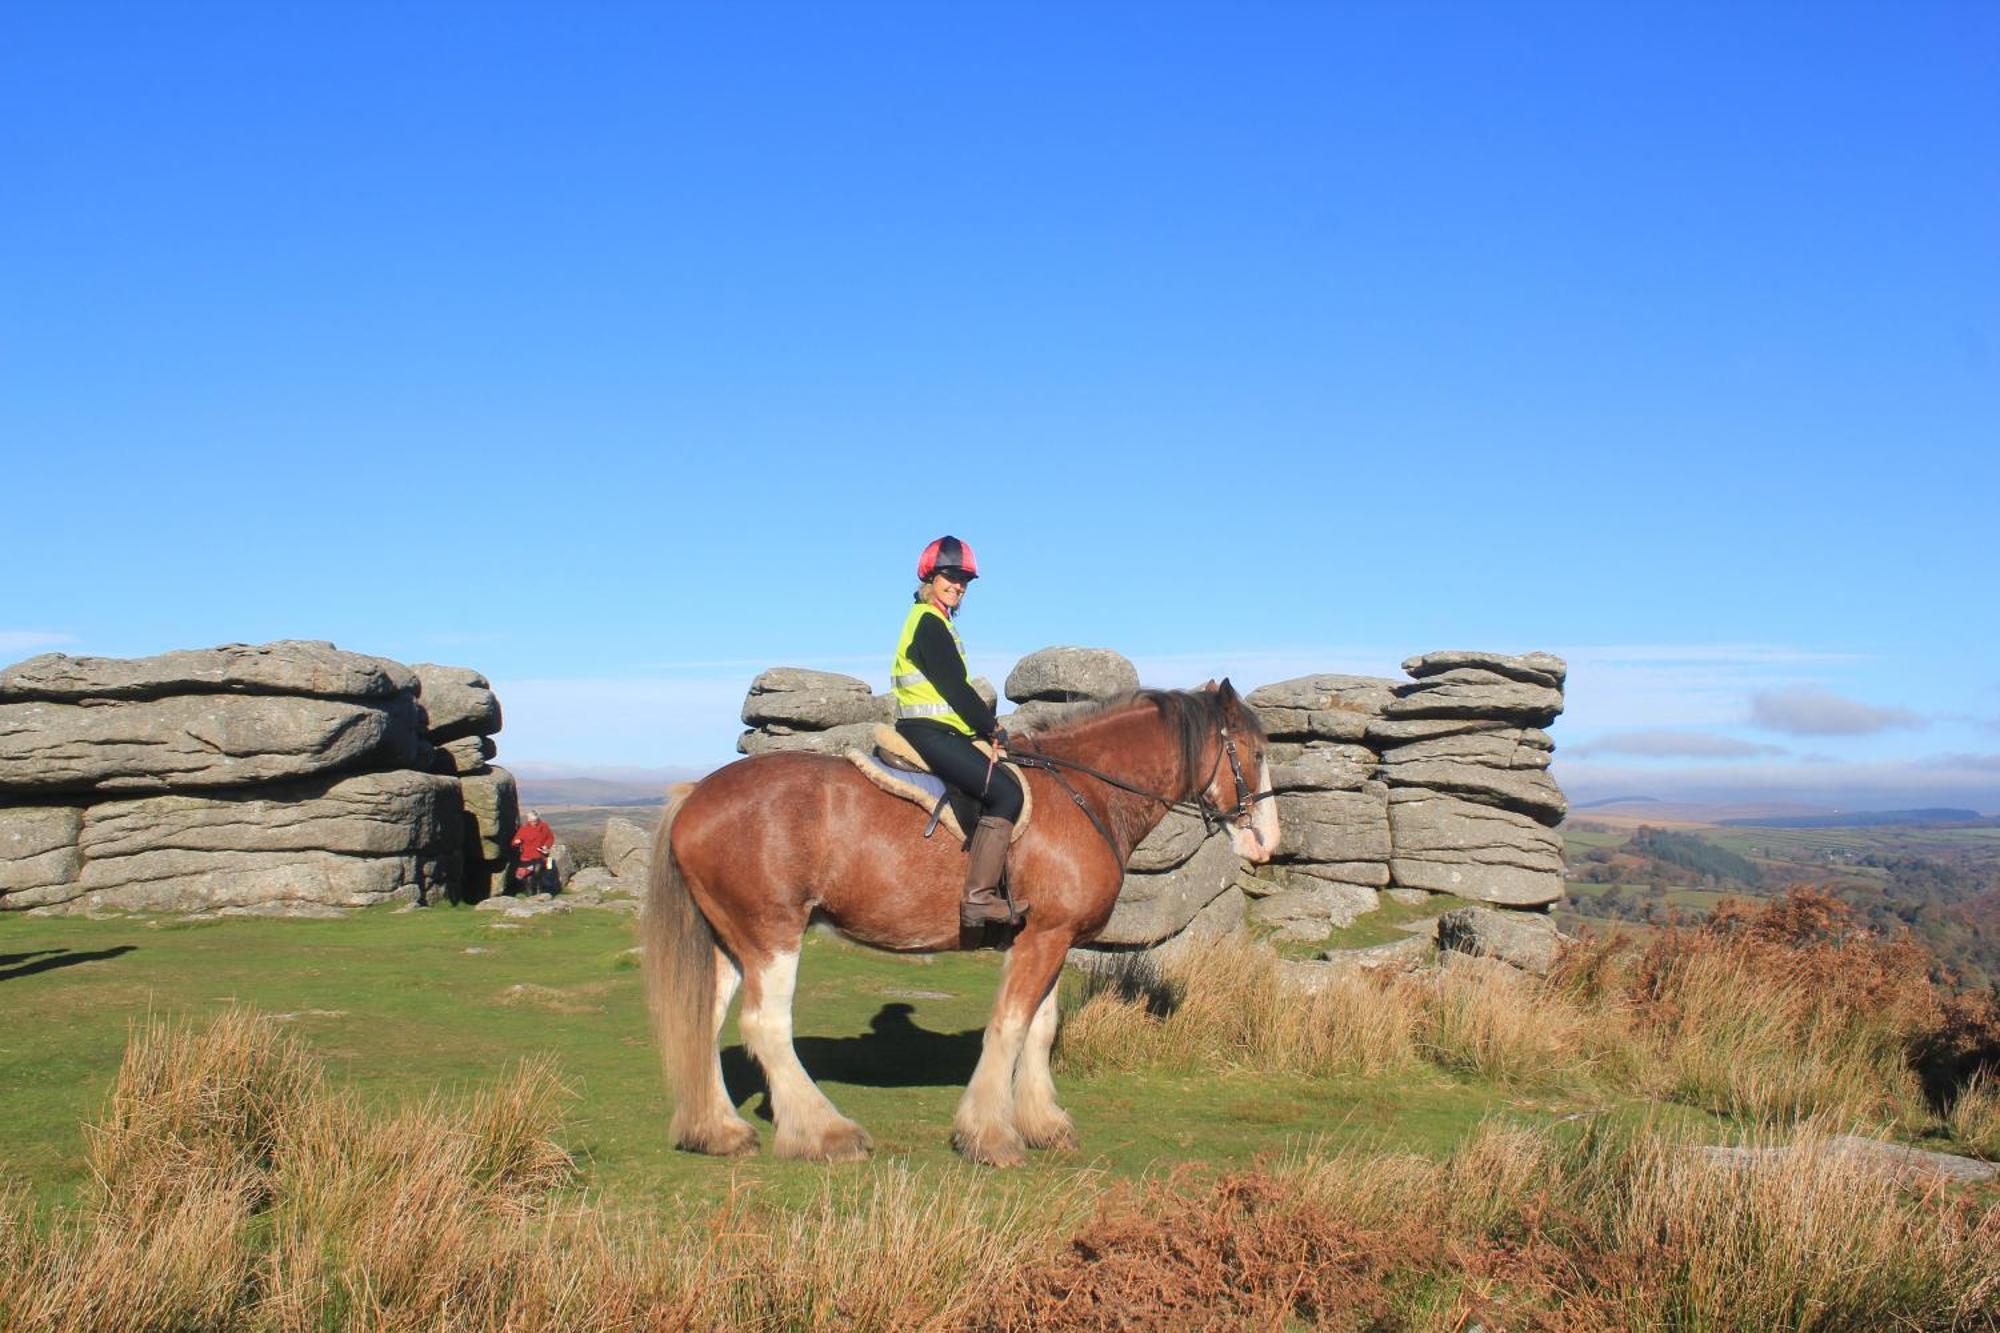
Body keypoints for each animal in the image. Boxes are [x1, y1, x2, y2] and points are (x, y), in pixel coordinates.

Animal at [640, 680, 1272, 1160]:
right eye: (1257, 752)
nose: (1266, 842)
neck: (1083, 792)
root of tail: (695, 794)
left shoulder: (1050, 937)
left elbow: (1040, 1029)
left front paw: (1043, 1124)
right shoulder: (1045, 937)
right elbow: (1010, 1027)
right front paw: (989, 1135)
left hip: (730, 939)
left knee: (704, 1021)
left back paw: (717, 1131)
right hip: (771, 934)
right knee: (765, 1027)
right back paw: (825, 1133)